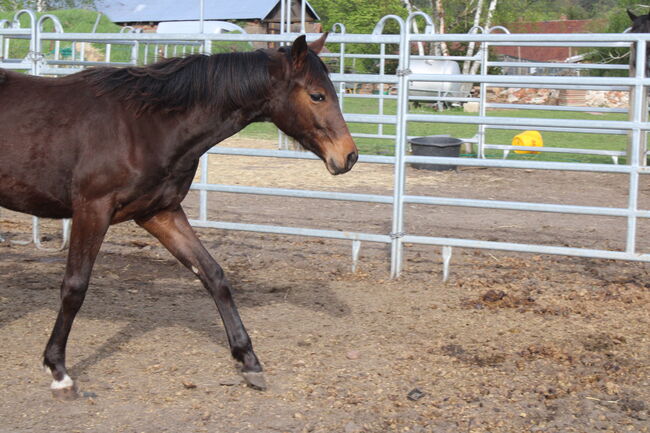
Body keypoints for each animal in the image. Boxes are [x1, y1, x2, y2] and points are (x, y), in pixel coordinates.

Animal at [0, 33, 356, 398]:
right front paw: (58, 371)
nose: (349, 155)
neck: (145, 126)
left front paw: (249, 362)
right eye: (317, 95)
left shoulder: (160, 212)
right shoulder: (92, 209)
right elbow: (74, 287)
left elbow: (214, 275)